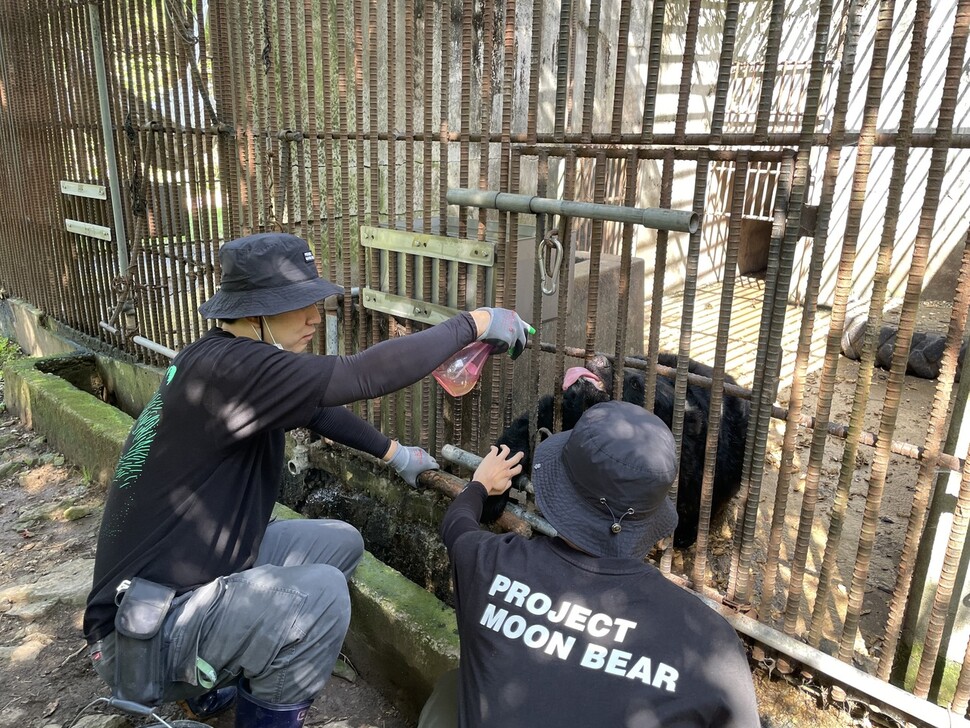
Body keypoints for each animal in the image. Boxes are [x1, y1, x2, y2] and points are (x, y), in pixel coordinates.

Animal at [488, 352, 752, 544]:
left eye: (635, 383)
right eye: (626, 359)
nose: (600, 359)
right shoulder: (568, 410)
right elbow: (527, 429)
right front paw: (496, 490)